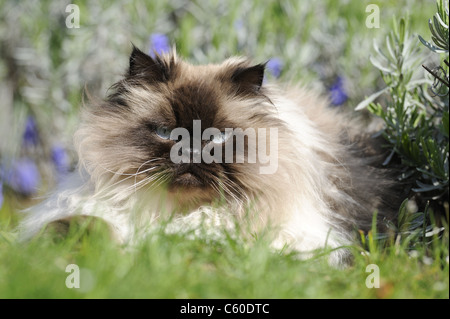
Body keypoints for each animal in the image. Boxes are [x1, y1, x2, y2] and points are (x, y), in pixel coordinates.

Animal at [19, 45, 402, 264]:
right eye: (165, 133)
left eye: (216, 138)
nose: (189, 151)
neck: (174, 212)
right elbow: (76, 225)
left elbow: (197, 237)